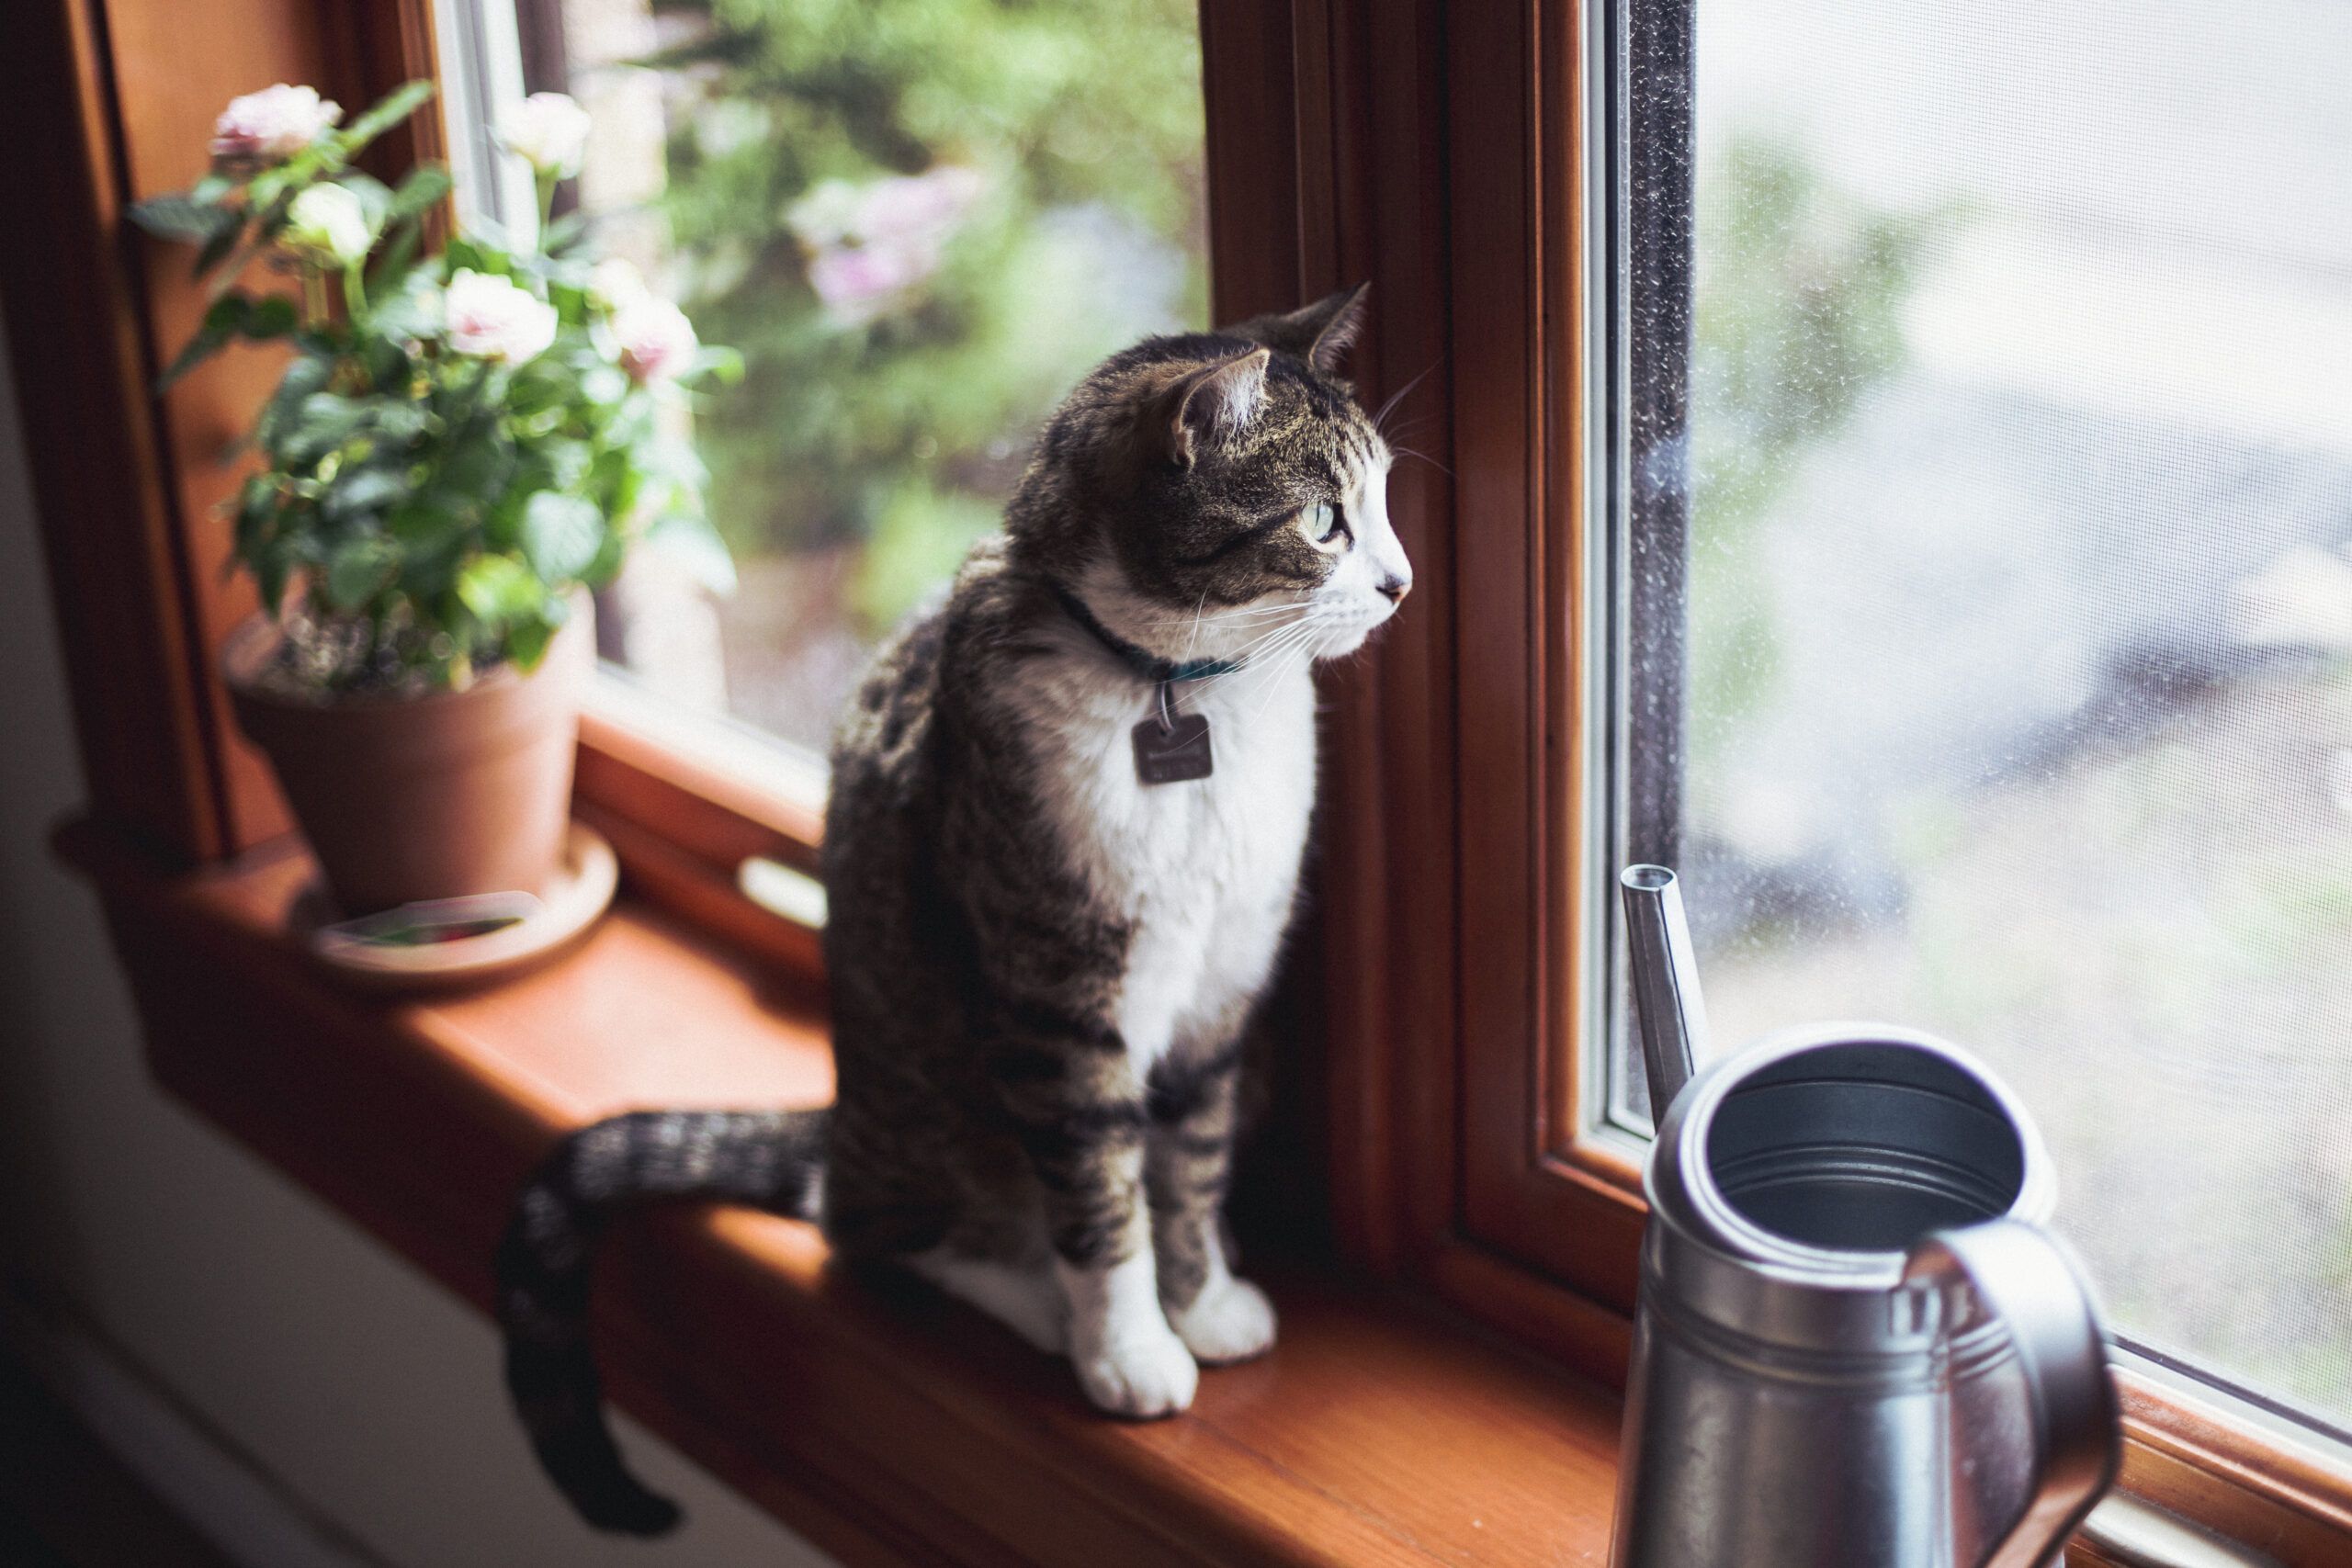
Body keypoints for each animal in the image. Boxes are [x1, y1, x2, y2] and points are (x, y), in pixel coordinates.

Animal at [496, 288, 1401, 1541]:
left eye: (1384, 499)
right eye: (1323, 520)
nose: (1400, 581)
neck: (1191, 700)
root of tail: (839, 1122)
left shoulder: (1223, 992)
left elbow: (1189, 1162)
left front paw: (1206, 1298)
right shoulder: (1056, 999)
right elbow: (1102, 1192)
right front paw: (1130, 1350)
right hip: (939, 1121)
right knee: (875, 1227)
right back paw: (1036, 1305)